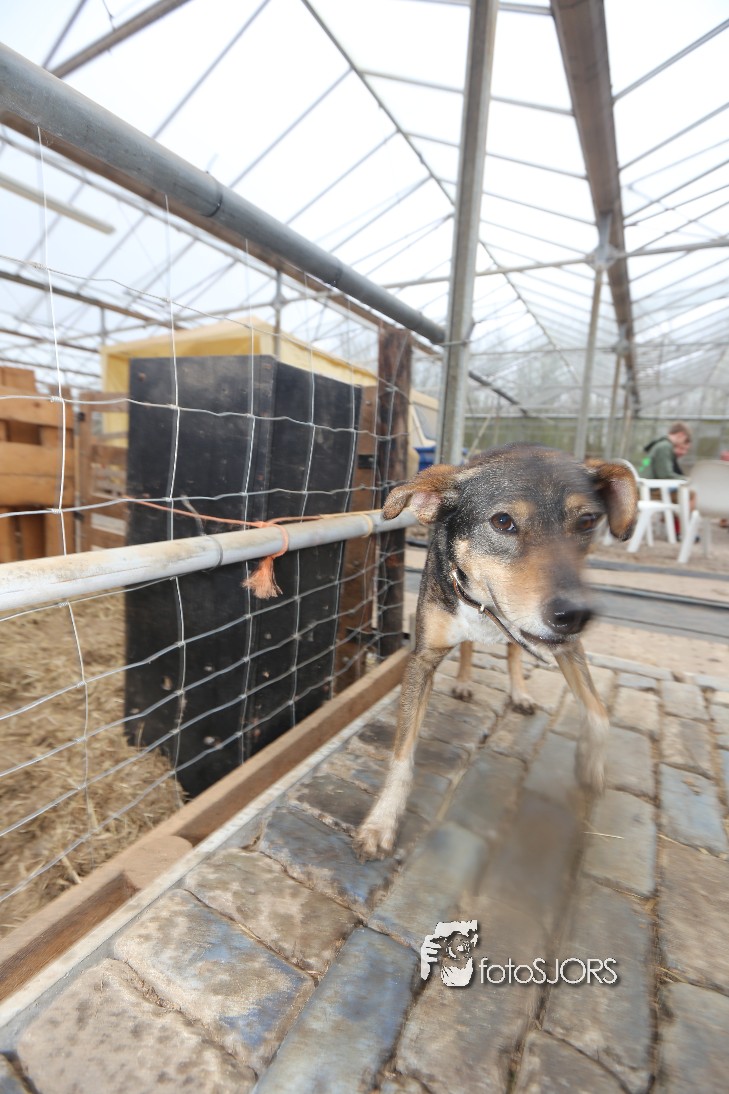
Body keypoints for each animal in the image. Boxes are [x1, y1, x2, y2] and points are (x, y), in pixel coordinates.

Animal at [354, 443, 638, 860]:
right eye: (503, 521)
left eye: (587, 521)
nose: (576, 616)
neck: (486, 607)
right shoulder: (422, 658)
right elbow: (402, 754)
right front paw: (382, 822)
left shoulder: (568, 648)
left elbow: (599, 713)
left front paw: (590, 765)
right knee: (471, 648)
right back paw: (465, 681)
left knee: (513, 654)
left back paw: (518, 691)